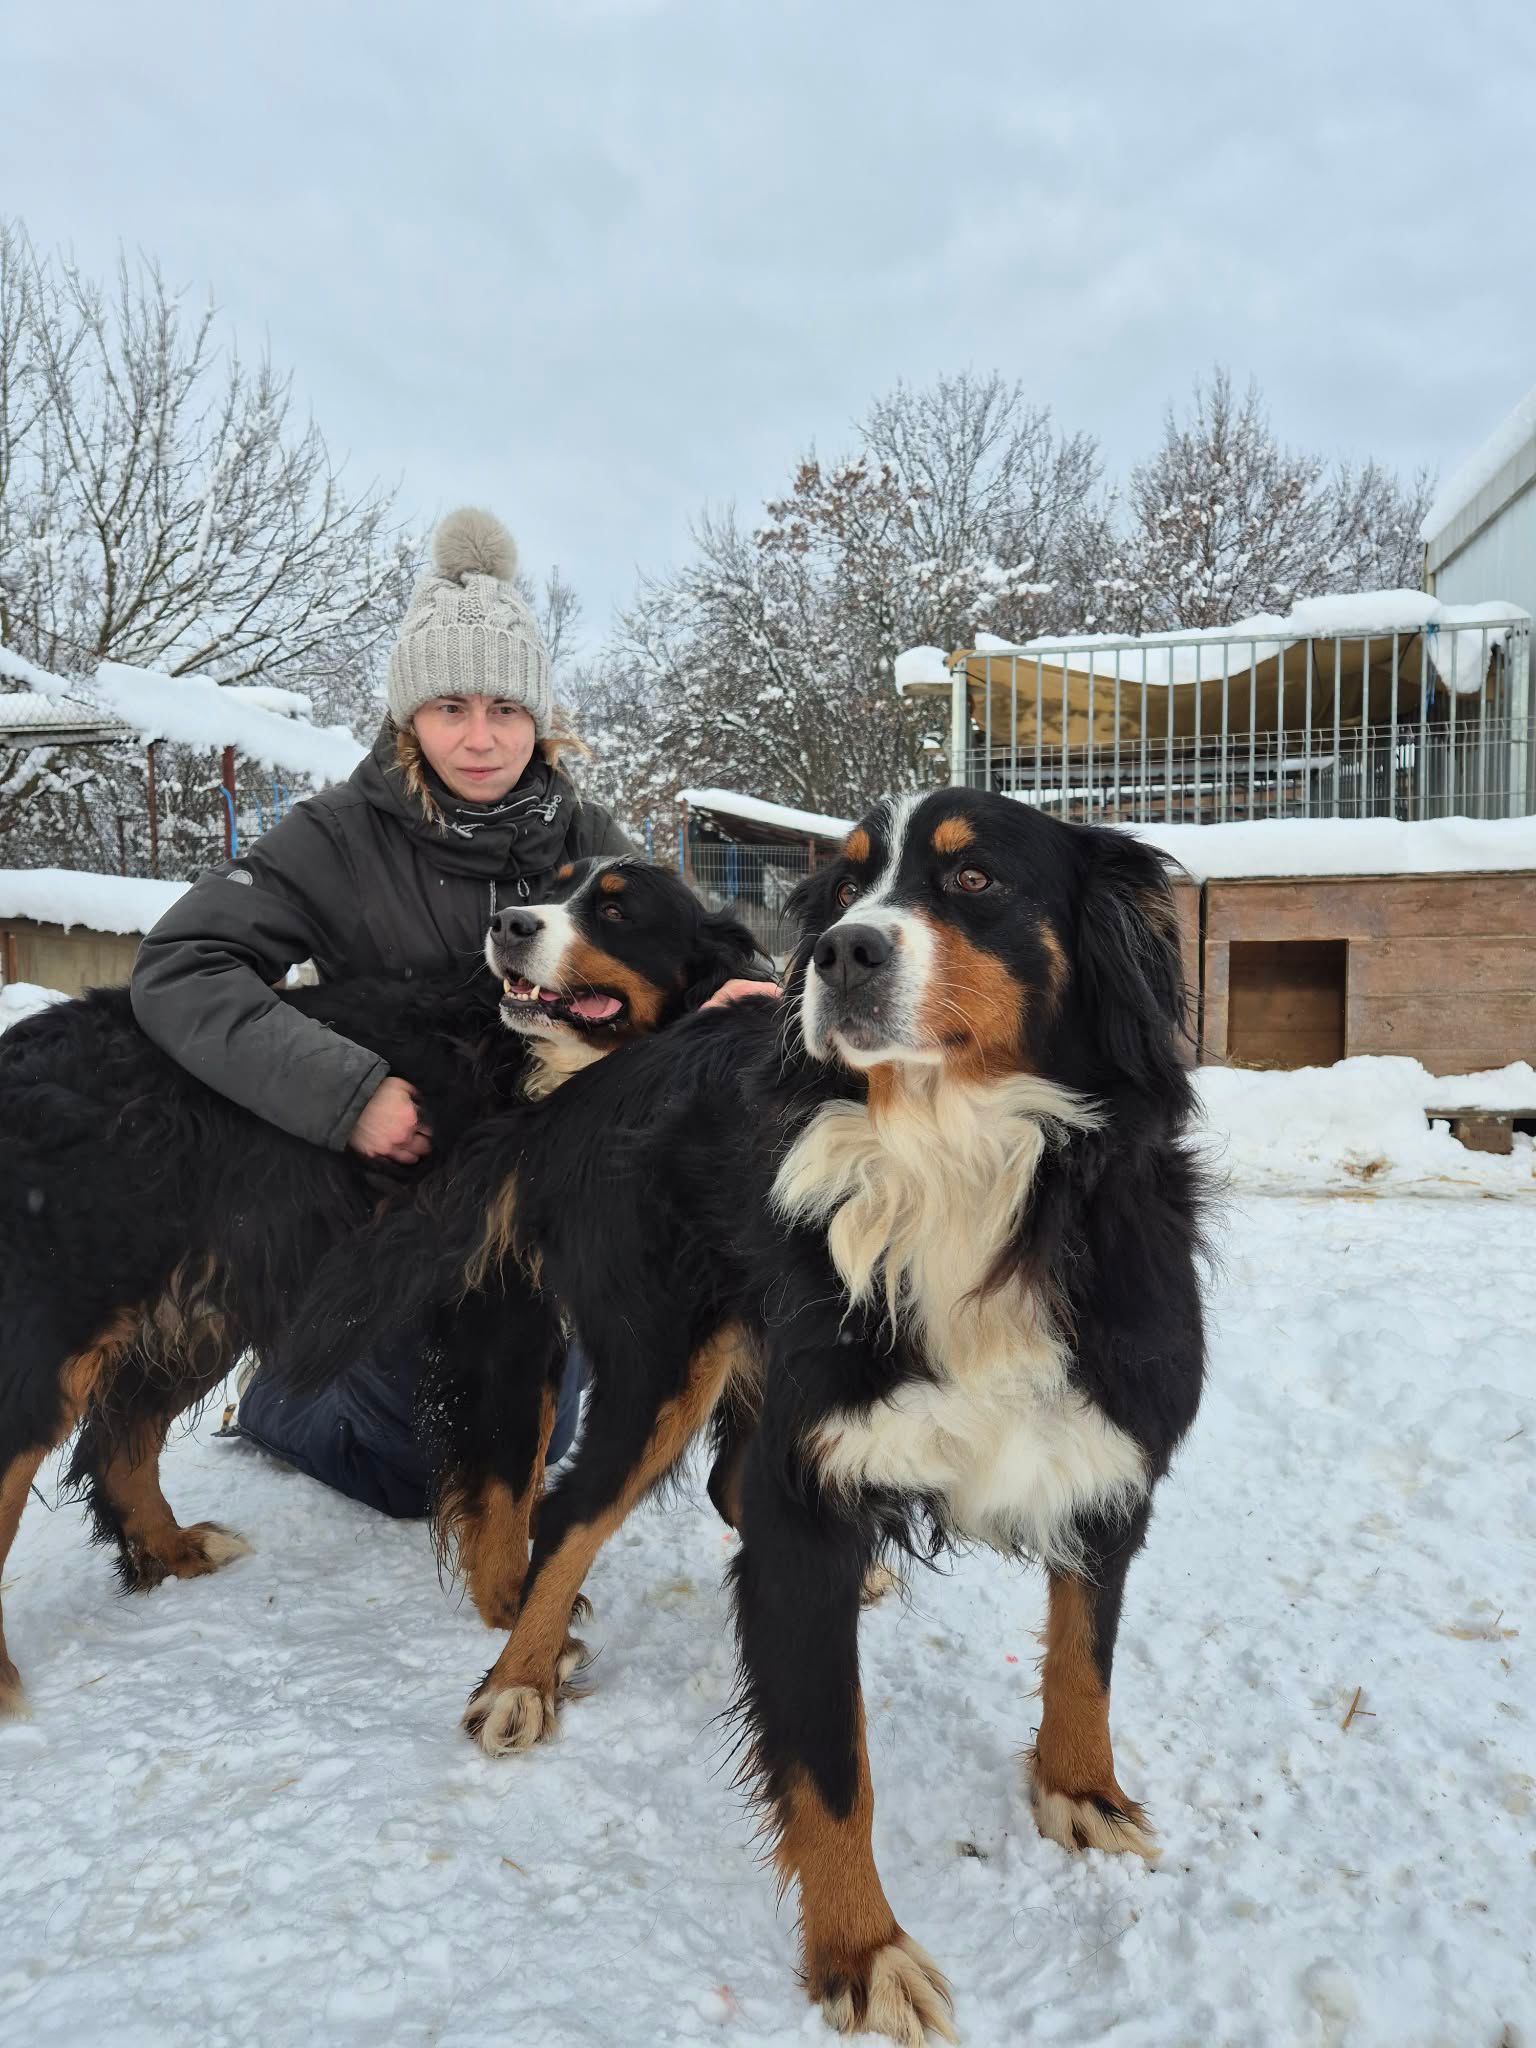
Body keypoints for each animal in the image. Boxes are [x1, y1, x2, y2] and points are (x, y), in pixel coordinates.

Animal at [0, 856, 759, 1719]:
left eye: (618, 911)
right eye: (546, 888)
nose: (508, 926)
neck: (554, 1076)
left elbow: (518, 1462)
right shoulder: (499, 1305)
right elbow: (508, 1471)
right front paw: (516, 1609)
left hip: (202, 1300)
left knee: (119, 1436)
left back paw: (175, 1548)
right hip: (62, 1310)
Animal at [281, 789, 1207, 2045]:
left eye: (975, 880)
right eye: (849, 884)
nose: (841, 952)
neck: (958, 1163)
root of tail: (610, 1074)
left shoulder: (1109, 1446)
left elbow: (1083, 1654)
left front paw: (1083, 1791)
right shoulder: (804, 1497)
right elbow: (829, 1760)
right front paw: (862, 1951)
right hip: (659, 1364)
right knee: (568, 1513)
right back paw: (518, 1678)